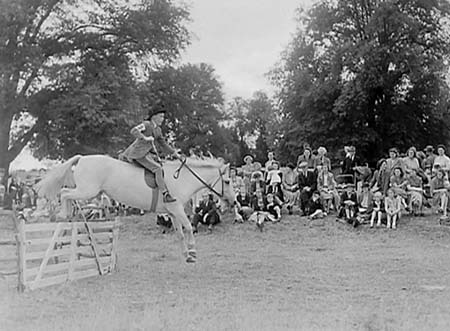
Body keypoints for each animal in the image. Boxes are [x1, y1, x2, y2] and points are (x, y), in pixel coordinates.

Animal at [35, 154, 236, 264]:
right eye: (227, 181)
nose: (233, 202)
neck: (182, 178)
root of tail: (82, 158)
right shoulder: (177, 209)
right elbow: (188, 228)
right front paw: (193, 253)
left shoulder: (172, 213)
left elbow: (180, 233)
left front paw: (186, 255)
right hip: (87, 191)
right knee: (64, 193)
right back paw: (63, 214)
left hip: (87, 191)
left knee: (65, 193)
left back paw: (65, 215)